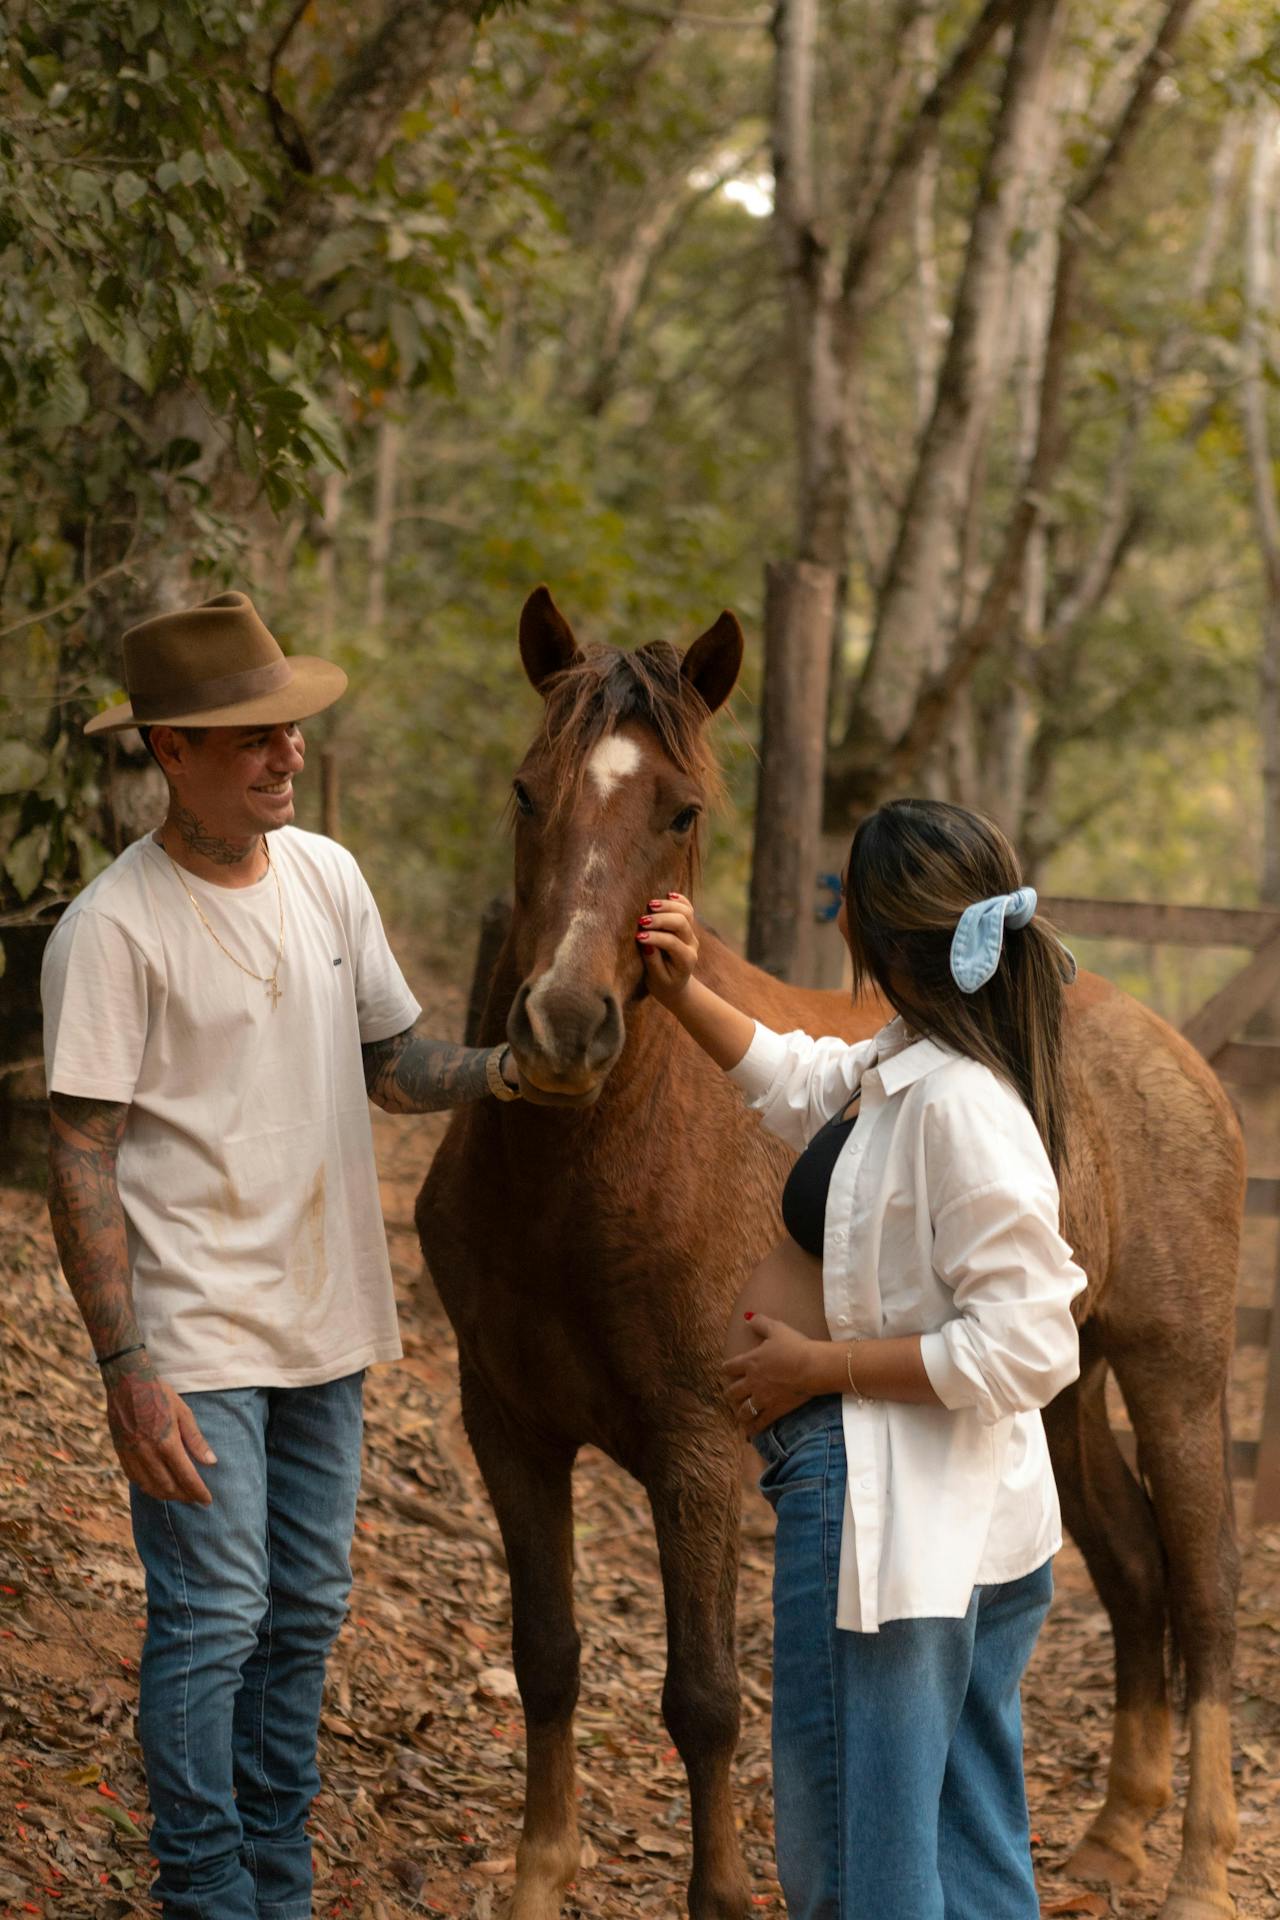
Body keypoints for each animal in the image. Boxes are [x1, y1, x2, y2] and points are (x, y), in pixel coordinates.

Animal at [418, 587, 1243, 1920]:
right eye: (526, 791)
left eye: (682, 811)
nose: (563, 1027)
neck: (579, 1181)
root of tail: (1172, 1054)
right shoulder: (506, 1426)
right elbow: (546, 1656)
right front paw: (538, 1877)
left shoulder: (696, 1447)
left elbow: (703, 1700)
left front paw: (717, 1895)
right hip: (1056, 1394)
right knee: (1133, 1572)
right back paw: (1116, 1832)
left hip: (1174, 1374)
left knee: (1206, 1593)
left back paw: (1198, 1867)